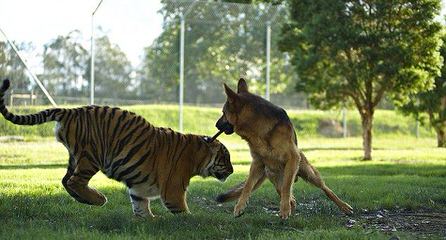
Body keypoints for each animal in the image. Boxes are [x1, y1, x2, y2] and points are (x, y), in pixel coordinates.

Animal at [0, 79, 235, 217]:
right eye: (226, 158)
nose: (233, 171)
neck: (199, 156)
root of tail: (72, 110)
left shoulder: (139, 190)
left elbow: (141, 208)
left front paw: (148, 222)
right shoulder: (174, 190)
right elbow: (185, 215)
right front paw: (192, 223)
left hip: (76, 157)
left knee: (66, 180)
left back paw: (87, 199)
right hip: (91, 156)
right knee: (75, 181)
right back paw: (98, 199)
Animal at [214, 79, 354, 219]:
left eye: (223, 113)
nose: (216, 125)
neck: (259, 129)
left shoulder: (292, 158)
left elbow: (287, 186)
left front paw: (284, 210)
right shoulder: (257, 163)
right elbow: (248, 186)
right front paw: (240, 206)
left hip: (309, 173)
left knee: (325, 189)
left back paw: (344, 206)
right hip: (273, 176)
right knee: (290, 198)